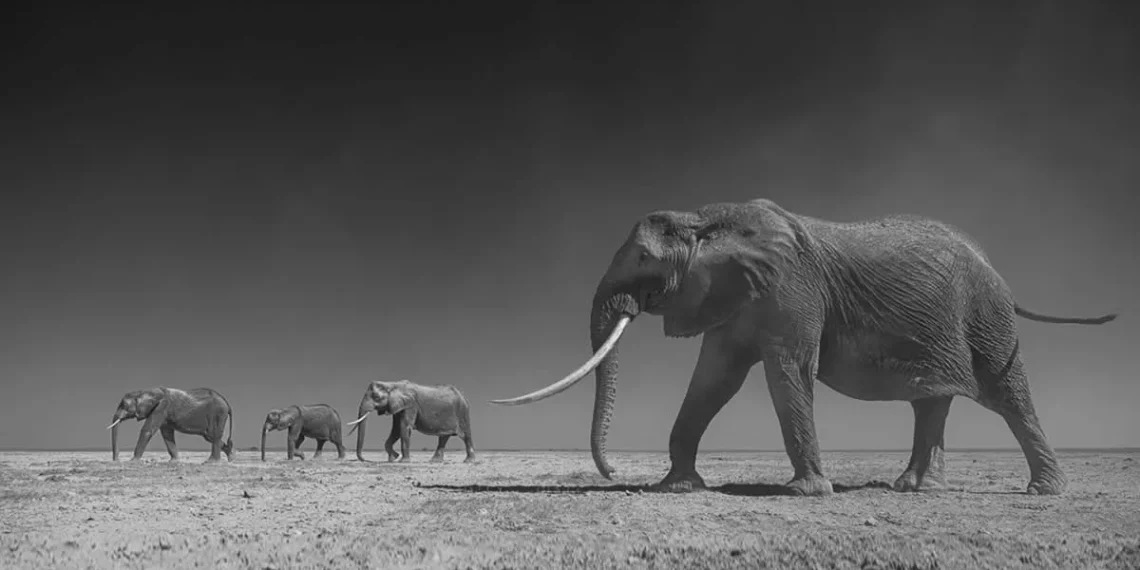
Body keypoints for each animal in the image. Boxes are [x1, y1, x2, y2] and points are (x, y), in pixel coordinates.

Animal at [107, 387, 235, 462]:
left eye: (124, 405)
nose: (116, 460)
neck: (144, 392)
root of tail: (226, 402)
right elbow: (167, 434)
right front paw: (173, 462)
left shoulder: (162, 407)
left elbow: (148, 430)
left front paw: (133, 461)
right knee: (210, 437)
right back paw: (231, 457)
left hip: (218, 413)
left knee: (214, 435)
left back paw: (211, 462)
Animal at [346, 379, 476, 463]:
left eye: (376, 398)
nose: (364, 460)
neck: (392, 384)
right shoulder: (398, 407)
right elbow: (396, 430)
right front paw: (393, 458)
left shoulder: (410, 405)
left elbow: (404, 427)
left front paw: (403, 461)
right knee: (443, 437)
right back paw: (435, 461)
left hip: (462, 412)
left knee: (465, 435)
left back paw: (468, 461)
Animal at [491, 198, 1117, 496]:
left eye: (643, 258)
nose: (613, 472)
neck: (708, 217)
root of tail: (999, 271)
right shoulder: (735, 294)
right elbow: (714, 379)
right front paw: (678, 487)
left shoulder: (791, 287)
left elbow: (787, 369)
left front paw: (806, 493)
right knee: (931, 400)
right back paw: (913, 489)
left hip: (986, 319)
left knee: (1008, 394)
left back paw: (1043, 493)